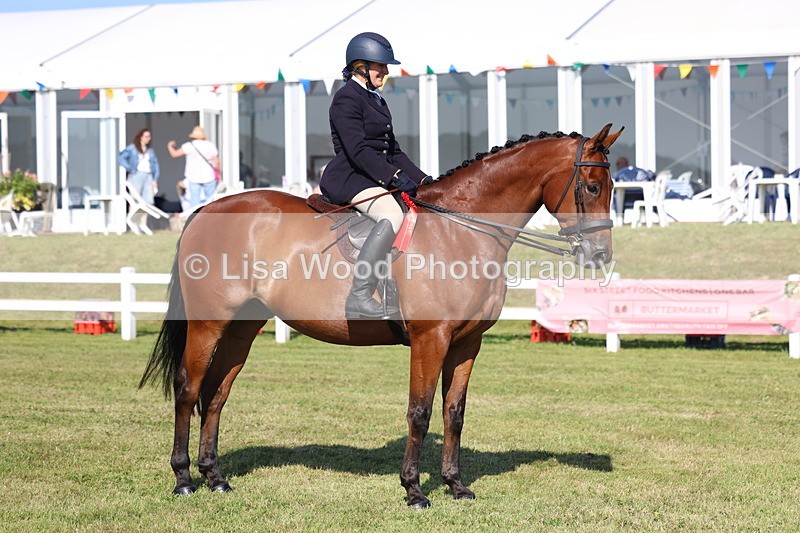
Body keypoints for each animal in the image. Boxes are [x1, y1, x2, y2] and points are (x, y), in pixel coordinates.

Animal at [139, 123, 623, 508]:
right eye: (592, 187)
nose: (600, 256)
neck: (461, 229)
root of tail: (206, 209)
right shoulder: (431, 339)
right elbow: (419, 412)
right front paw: (414, 490)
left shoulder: (467, 342)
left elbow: (454, 412)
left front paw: (456, 486)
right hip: (209, 323)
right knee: (188, 389)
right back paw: (183, 479)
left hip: (242, 328)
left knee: (216, 395)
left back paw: (216, 478)